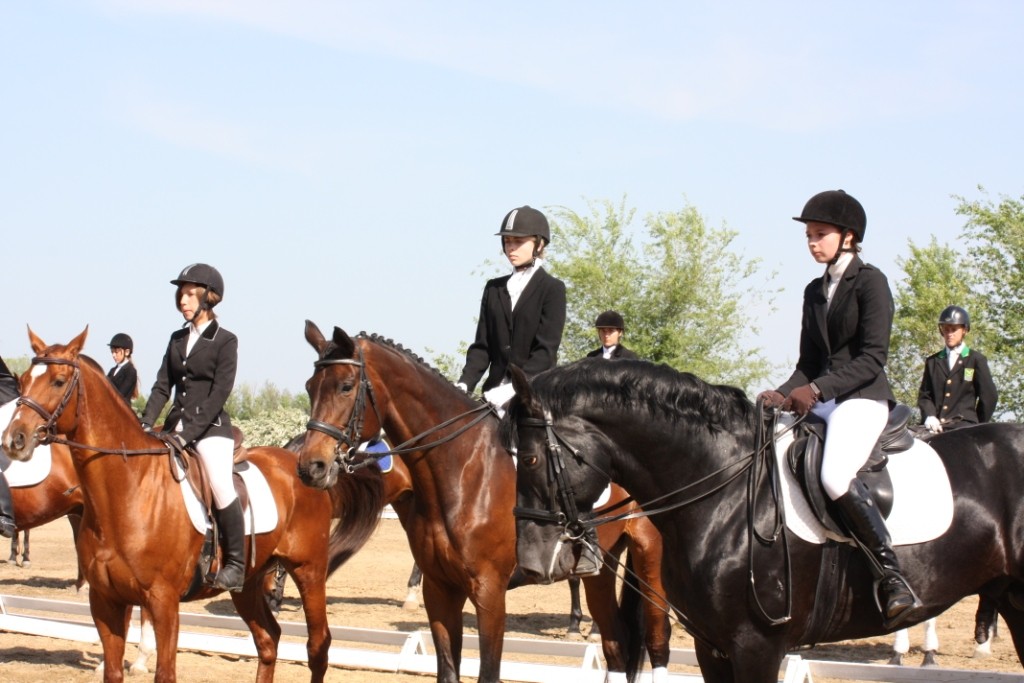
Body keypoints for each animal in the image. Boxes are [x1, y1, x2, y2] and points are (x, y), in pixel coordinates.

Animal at [2, 327, 385, 683]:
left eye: (58, 381)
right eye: (23, 380)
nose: (13, 440)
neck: (127, 491)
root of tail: (301, 463)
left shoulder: (163, 601)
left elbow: (165, 672)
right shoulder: (106, 601)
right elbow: (112, 671)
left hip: (309, 571)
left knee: (318, 646)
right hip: (249, 582)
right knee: (269, 639)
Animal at [296, 323, 671, 683]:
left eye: (346, 387)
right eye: (309, 387)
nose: (311, 467)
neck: (461, 471)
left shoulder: (490, 591)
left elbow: (488, 673)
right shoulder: (440, 589)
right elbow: (448, 671)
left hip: (651, 557)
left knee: (658, 640)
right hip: (602, 569)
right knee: (615, 645)